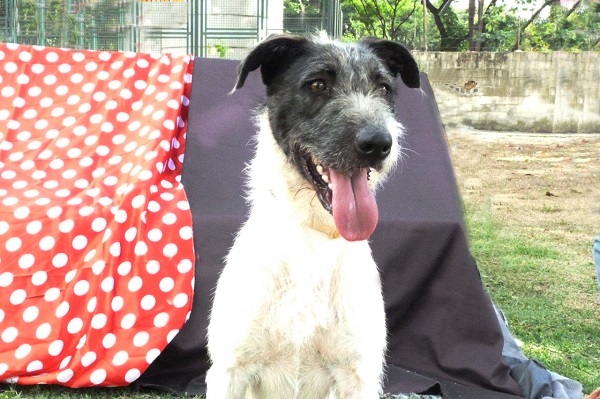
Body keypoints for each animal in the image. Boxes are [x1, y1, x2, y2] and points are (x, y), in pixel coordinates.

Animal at [206, 32, 422, 398]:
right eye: (318, 84)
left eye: (383, 88)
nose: (379, 143)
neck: (313, 238)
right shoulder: (229, 371)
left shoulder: (358, 375)